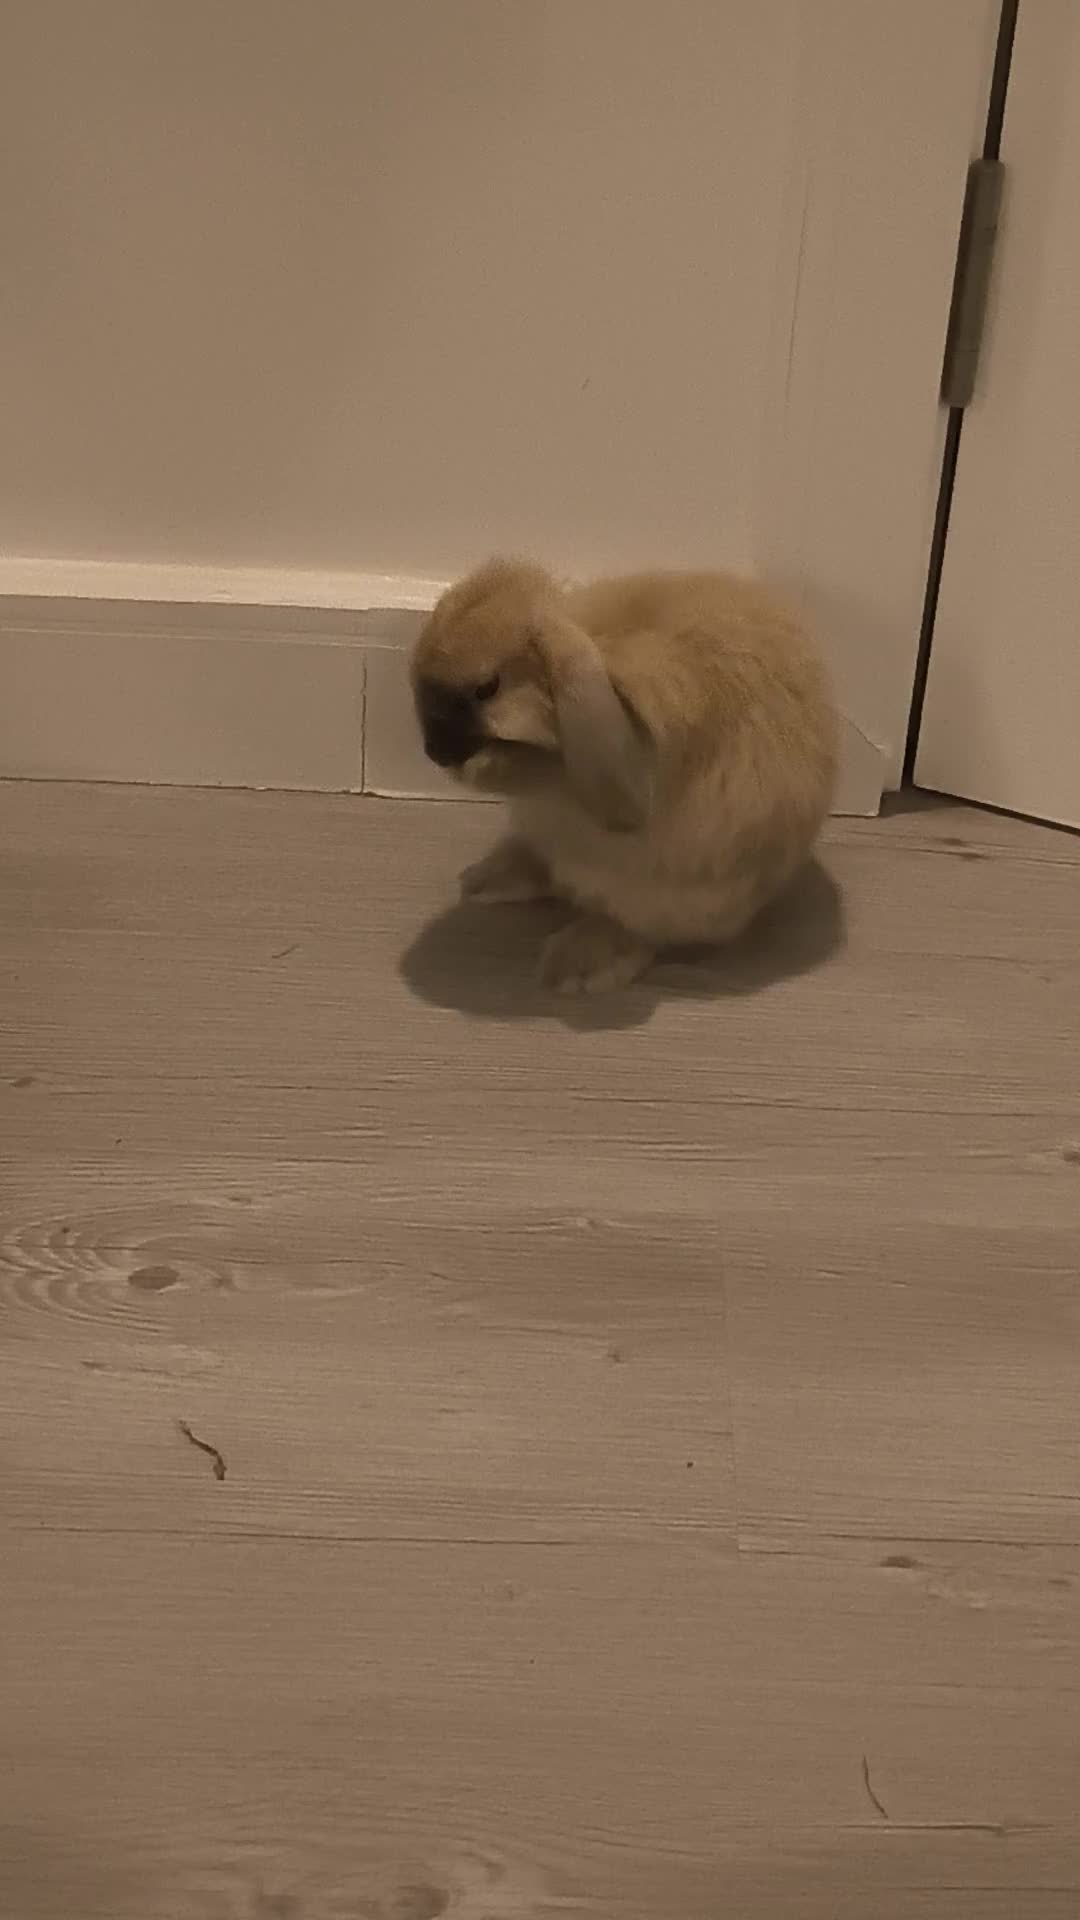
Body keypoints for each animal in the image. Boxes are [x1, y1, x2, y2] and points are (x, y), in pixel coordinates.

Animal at [411, 558, 838, 993]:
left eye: (487, 688)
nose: (435, 752)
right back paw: (484, 881)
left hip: (668, 897)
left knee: (638, 928)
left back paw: (573, 967)